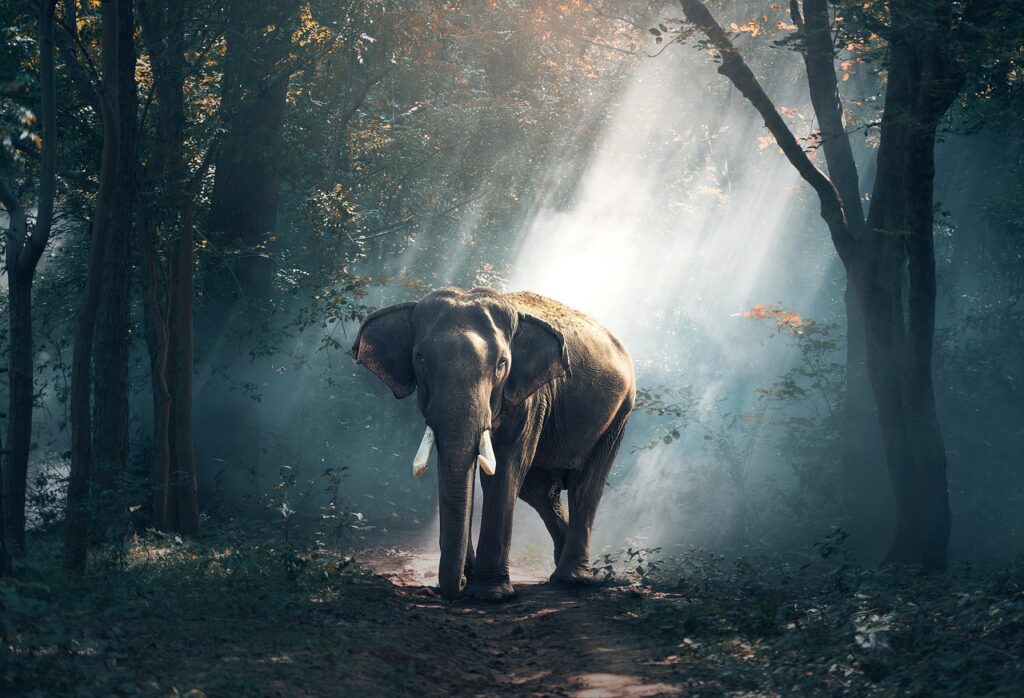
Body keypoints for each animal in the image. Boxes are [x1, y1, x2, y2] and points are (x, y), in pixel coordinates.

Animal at [352, 287, 635, 600]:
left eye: (502, 364)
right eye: (420, 358)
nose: (458, 585)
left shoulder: (531, 397)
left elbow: (505, 469)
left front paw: (490, 594)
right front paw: (471, 580)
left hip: (619, 413)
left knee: (585, 486)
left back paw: (572, 579)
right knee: (539, 490)